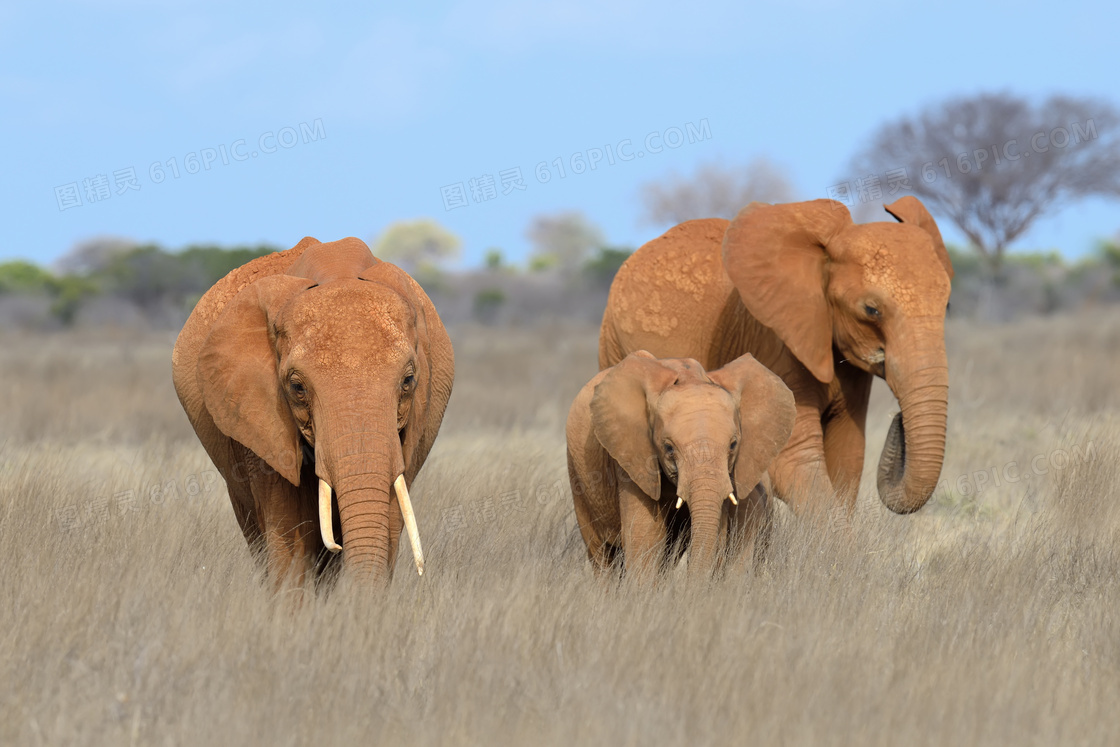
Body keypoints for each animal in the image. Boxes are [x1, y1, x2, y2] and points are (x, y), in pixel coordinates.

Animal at [600, 195, 958, 517]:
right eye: (871, 310)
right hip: (613, 345)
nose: (898, 420)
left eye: (948, 306)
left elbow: (848, 457)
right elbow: (795, 463)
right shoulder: (772, 342)